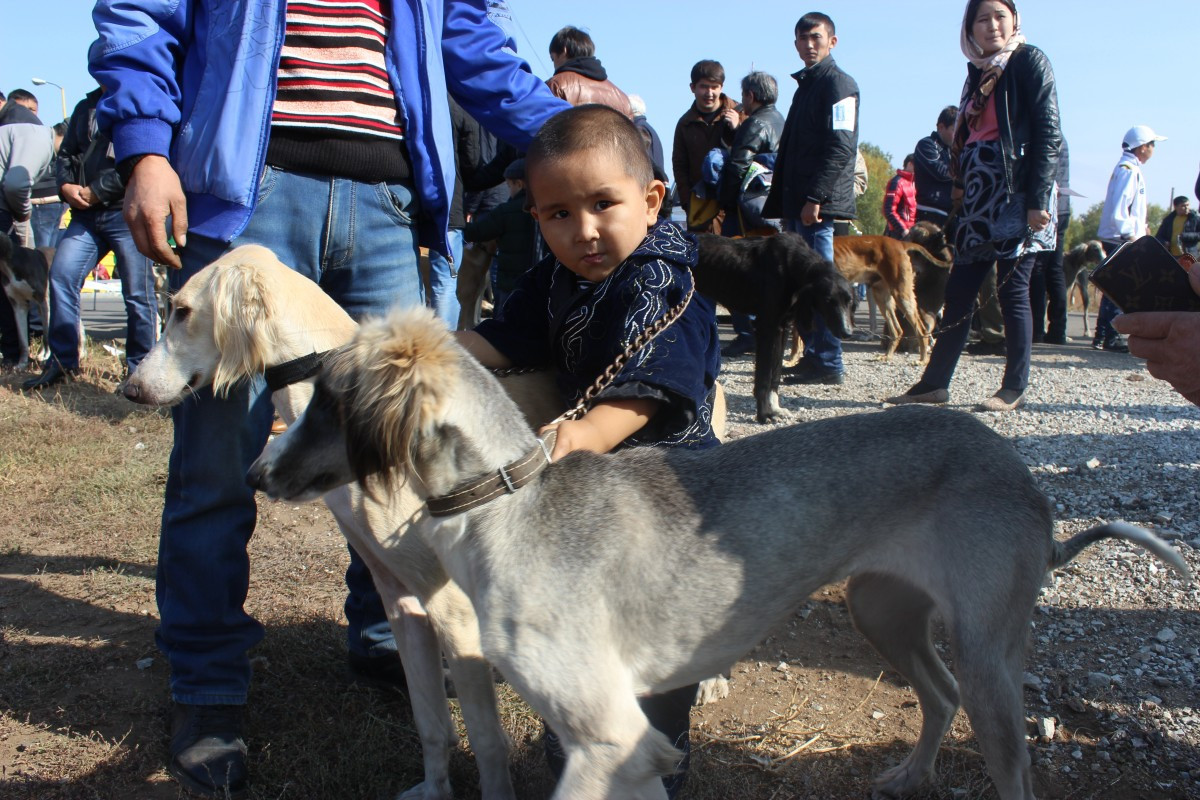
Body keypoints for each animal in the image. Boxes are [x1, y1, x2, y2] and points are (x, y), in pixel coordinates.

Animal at [250, 307, 1190, 800]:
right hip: (884, 610)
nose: (257, 473)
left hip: (992, 656)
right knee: (938, 693)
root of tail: (1024, 475)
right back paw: (910, 774)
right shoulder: (632, 745)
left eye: (328, 401)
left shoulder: (605, 735)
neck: (512, 510)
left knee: (1000, 747)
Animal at [691, 231, 859, 424]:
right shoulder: (766, 326)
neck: (791, 264)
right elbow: (764, 379)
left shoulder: (781, 328)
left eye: (849, 301)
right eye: (828, 301)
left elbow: (775, 376)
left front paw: (774, 409)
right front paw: (764, 415)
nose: (847, 332)